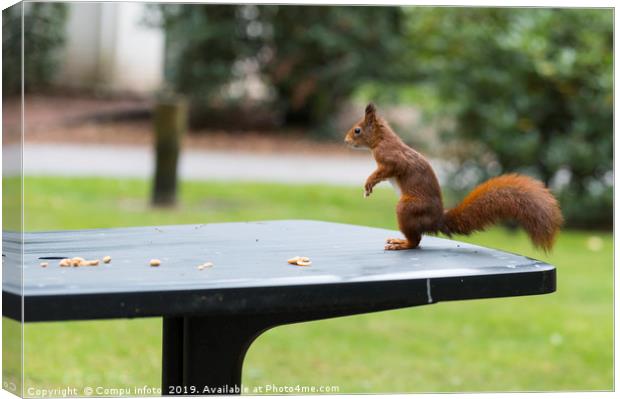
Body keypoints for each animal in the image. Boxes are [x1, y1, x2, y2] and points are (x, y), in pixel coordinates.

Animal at [346, 104, 564, 252]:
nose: (346, 140)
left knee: (416, 241)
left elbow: (385, 170)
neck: (382, 139)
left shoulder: (391, 159)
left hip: (408, 208)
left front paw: (368, 183)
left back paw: (402, 243)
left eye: (357, 130)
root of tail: (436, 220)